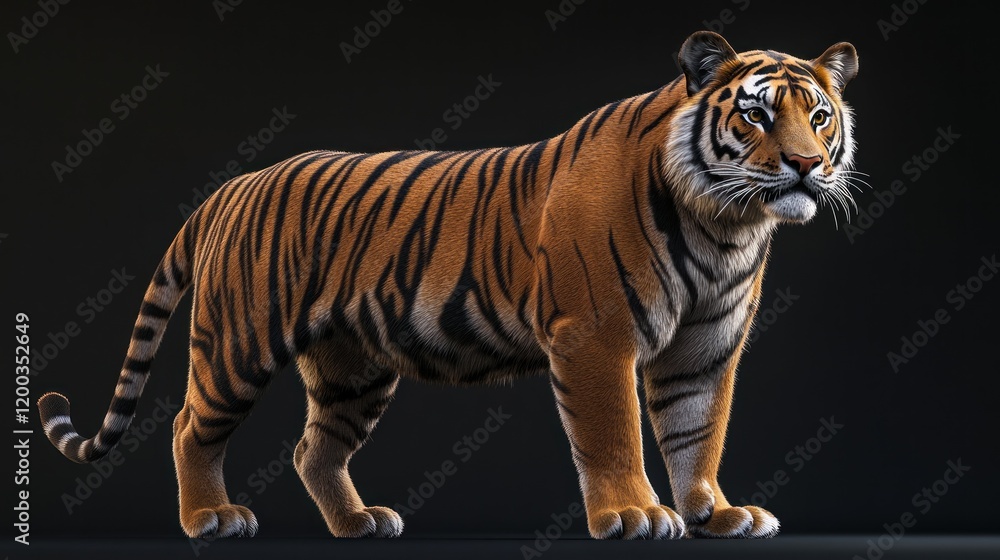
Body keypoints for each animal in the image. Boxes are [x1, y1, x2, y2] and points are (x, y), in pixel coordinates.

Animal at [39, 31, 860, 540]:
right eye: (755, 115)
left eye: (819, 116)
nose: (806, 165)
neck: (724, 225)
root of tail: (231, 188)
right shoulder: (597, 339)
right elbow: (615, 434)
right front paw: (633, 514)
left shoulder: (704, 350)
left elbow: (697, 435)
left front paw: (713, 514)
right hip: (237, 342)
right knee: (189, 427)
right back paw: (211, 518)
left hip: (353, 369)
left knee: (313, 450)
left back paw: (358, 522)